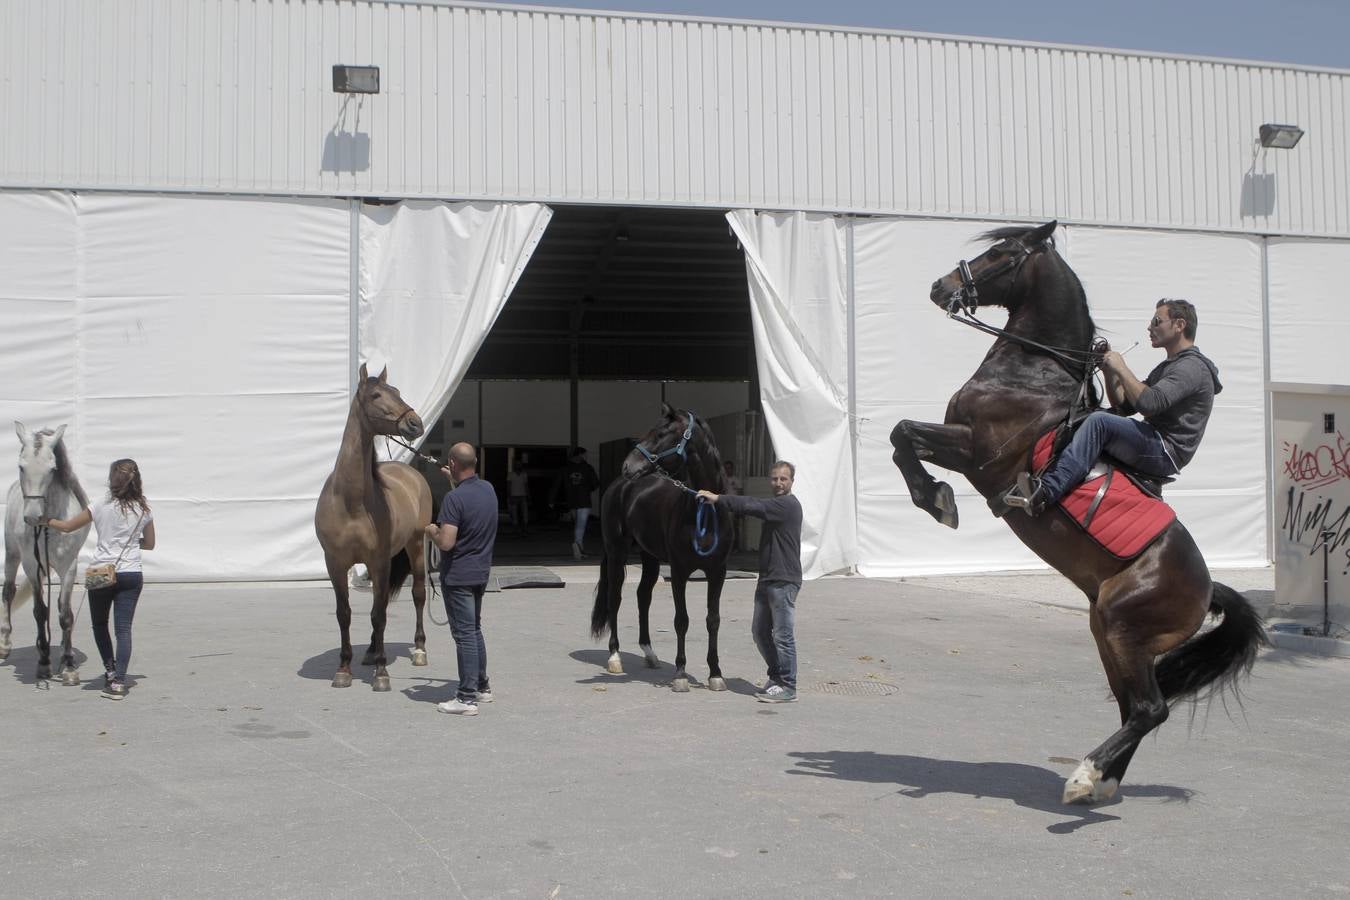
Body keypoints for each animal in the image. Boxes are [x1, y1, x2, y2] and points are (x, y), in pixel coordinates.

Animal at [1, 423, 92, 682]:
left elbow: (65, 613)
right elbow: (40, 611)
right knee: (8, 592)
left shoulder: (68, 566)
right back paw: (5, 644)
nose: (33, 517)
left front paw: (69, 665)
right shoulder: (31, 566)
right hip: (12, 555)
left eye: (53, 469)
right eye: (21, 466)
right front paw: (43, 664)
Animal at [313, 364, 429, 690]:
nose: (415, 423)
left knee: (417, 594)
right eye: (376, 395)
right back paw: (371, 651)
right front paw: (344, 669)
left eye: (397, 392)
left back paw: (419, 650)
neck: (351, 502)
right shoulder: (335, 563)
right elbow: (345, 614)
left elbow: (378, 615)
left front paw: (381, 673)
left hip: (416, 547)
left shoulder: (378, 562)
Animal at [594, 404, 739, 696]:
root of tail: (620, 485)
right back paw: (614, 657)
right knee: (615, 598)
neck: (705, 511)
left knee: (643, 597)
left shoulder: (717, 571)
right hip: (616, 552)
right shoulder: (680, 571)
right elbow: (681, 620)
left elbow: (713, 619)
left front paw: (716, 674)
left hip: (649, 557)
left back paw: (649, 654)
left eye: (661, 434)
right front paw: (680, 674)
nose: (627, 466)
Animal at [885, 221, 1263, 804]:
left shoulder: (975, 451)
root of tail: (1207, 588)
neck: (1033, 371)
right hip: (1109, 636)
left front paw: (936, 499)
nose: (940, 285)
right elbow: (899, 437)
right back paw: (1103, 784)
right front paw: (935, 498)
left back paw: (1085, 775)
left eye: (1000, 253)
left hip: (1122, 628)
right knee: (1136, 709)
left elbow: (902, 433)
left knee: (1150, 710)